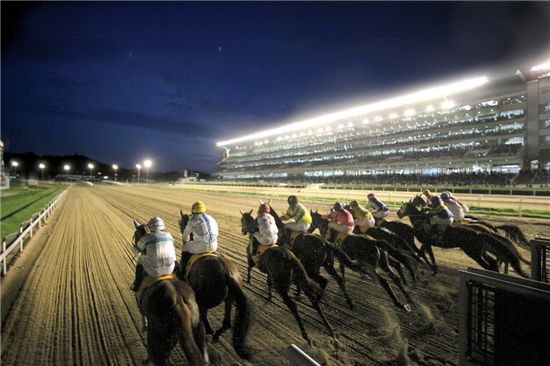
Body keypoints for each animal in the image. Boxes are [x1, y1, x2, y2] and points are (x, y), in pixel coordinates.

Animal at [132, 220, 209, 366]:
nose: (134, 246)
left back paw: (146, 359)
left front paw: (144, 326)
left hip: (159, 337)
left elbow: (142, 315)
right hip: (198, 331)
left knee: (157, 355)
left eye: (134, 235)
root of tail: (178, 302)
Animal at [179, 212, 252, 358]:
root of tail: (227, 273)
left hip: (205, 299)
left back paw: (209, 335)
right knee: (227, 323)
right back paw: (216, 336)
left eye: (181, 223)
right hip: (229, 298)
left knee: (205, 320)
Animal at [240, 210, 336, 344]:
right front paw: (271, 295)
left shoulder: (252, 260)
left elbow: (250, 268)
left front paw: (249, 281)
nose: (243, 230)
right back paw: (330, 329)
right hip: (306, 274)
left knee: (294, 304)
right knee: (317, 296)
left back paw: (306, 336)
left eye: (242, 220)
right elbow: (269, 281)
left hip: (288, 281)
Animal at [398, 197, 532, 278]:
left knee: (494, 263)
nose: (398, 213)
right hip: (482, 252)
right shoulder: (428, 243)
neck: (421, 220)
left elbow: (421, 253)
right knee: (495, 261)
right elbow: (428, 254)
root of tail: (487, 231)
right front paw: (435, 269)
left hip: (474, 253)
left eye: (402, 207)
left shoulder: (426, 240)